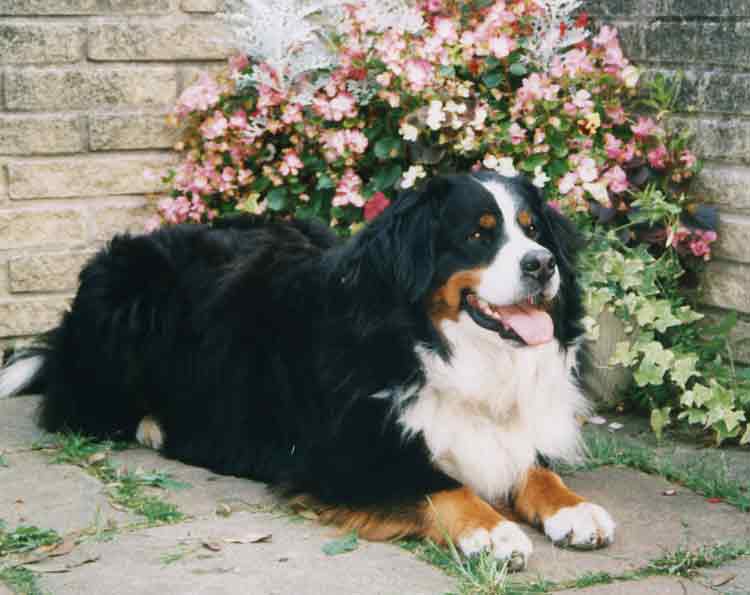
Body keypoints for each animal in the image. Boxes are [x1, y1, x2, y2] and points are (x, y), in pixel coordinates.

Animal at [0, 170, 616, 572]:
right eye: (478, 234)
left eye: (534, 231)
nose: (542, 264)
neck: (438, 346)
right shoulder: (343, 457)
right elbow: (442, 487)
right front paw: (494, 532)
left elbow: (533, 469)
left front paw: (575, 510)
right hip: (120, 313)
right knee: (76, 407)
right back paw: (153, 426)